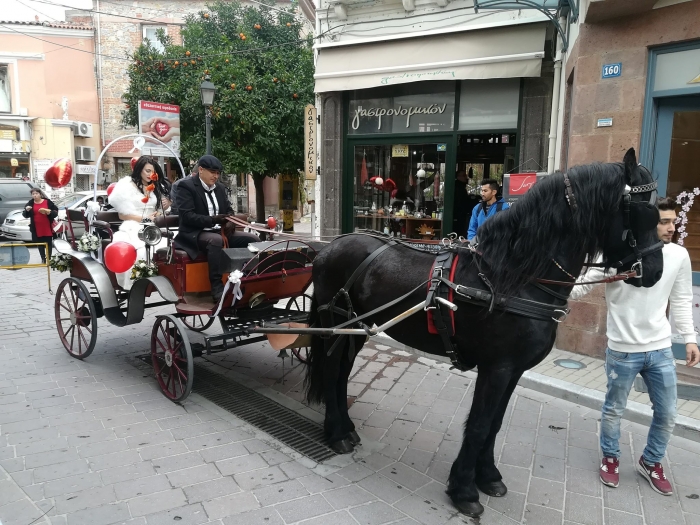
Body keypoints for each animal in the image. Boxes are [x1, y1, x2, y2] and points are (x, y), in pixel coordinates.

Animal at [304, 148, 664, 516]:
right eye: (642, 211)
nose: (654, 272)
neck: (515, 276)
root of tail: (328, 248)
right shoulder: (497, 368)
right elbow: (479, 424)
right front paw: (464, 489)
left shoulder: (514, 370)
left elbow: (495, 424)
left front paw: (488, 476)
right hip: (337, 325)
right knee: (332, 370)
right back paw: (336, 433)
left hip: (356, 329)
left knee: (342, 373)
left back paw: (346, 427)